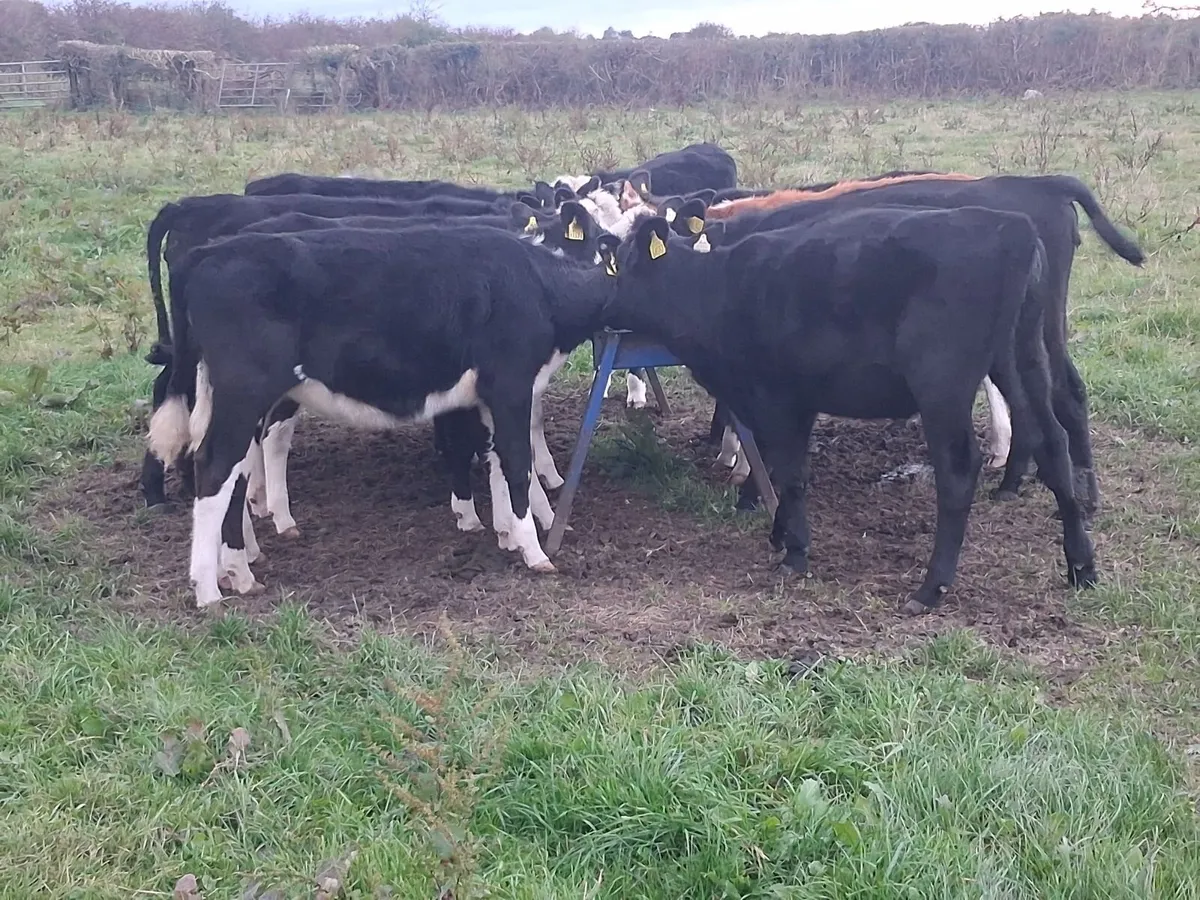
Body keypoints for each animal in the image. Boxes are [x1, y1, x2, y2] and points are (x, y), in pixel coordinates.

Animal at [145, 222, 618, 609]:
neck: (537, 286)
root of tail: (208, 253)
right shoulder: (511, 386)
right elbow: (519, 464)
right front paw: (534, 551)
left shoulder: (490, 398)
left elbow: (499, 462)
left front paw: (508, 533)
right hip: (243, 393)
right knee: (215, 469)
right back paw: (210, 589)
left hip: (223, 395)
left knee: (235, 473)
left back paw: (239, 569)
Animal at [600, 211, 1097, 614]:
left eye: (620, 263)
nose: (602, 306)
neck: (713, 292)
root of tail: (1013, 226)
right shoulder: (793, 403)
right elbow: (780, 471)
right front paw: (780, 533)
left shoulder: (778, 398)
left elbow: (791, 475)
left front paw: (795, 552)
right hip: (1022, 359)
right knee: (1053, 443)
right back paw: (1081, 565)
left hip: (942, 383)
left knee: (959, 472)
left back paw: (931, 588)